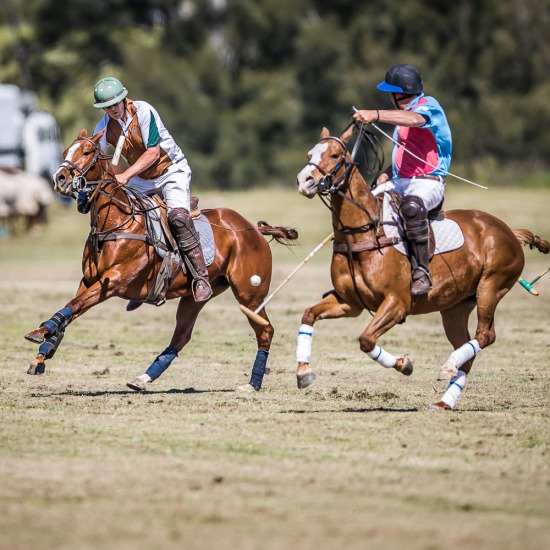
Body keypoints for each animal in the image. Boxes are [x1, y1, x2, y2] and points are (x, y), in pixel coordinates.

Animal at [23, 130, 300, 392]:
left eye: (87, 152)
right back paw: (143, 378)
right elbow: (71, 308)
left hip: (249, 294)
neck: (114, 222)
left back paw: (253, 383)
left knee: (265, 331)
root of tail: (253, 228)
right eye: (66, 151)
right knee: (181, 336)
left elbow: (75, 304)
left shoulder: (114, 281)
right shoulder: (89, 280)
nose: (60, 178)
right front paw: (42, 353)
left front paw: (41, 332)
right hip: (197, 295)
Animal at [296, 125, 548, 410]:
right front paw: (304, 372)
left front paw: (404, 364)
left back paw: (448, 367)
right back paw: (445, 399)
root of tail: (508, 230)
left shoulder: (397, 302)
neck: (362, 232)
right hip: (455, 307)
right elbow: (308, 315)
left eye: (335, 154)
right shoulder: (349, 302)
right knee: (467, 348)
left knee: (486, 335)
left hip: (491, 287)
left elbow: (366, 339)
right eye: (310, 154)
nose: (304, 180)